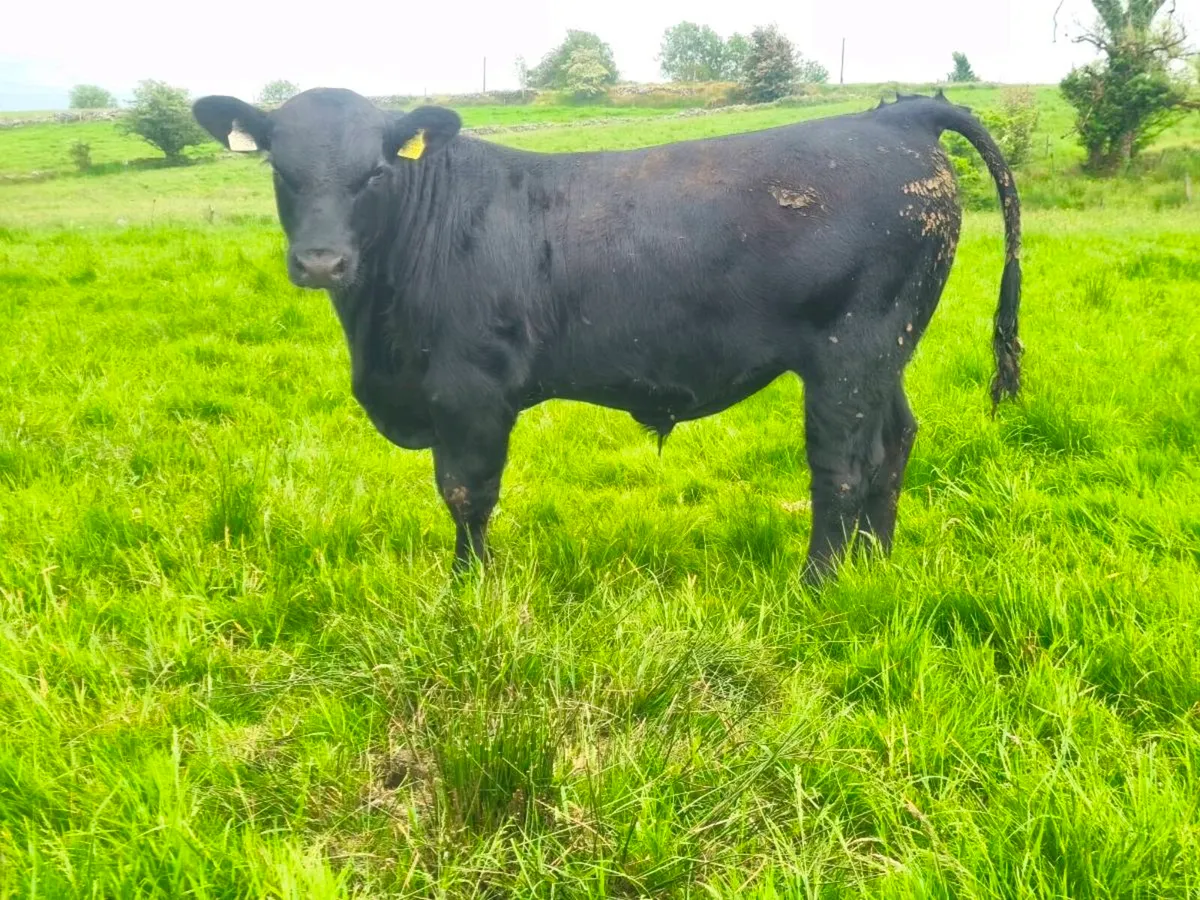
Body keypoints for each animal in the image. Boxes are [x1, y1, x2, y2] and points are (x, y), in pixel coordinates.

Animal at [192, 88, 1022, 581]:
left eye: (373, 173)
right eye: (284, 171)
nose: (321, 261)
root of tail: (896, 114)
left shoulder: (470, 391)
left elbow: (466, 494)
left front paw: (469, 590)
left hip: (851, 352)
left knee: (844, 466)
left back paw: (818, 584)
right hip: (888, 349)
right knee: (896, 443)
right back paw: (874, 567)